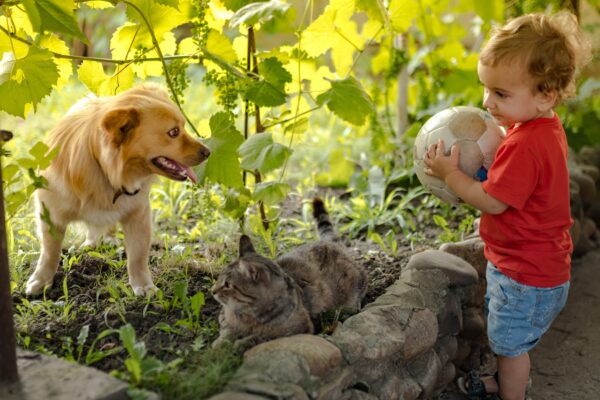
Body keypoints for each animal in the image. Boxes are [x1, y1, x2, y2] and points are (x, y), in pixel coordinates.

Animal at [27, 84, 212, 296]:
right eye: (174, 132)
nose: (208, 152)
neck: (107, 172)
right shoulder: (50, 215)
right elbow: (50, 252)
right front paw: (41, 280)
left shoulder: (138, 214)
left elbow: (138, 256)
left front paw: (143, 285)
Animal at [213, 198, 368, 348]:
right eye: (218, 278)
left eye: (227, 284)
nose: (212, 290)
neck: (247, 315)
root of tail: (328, 242)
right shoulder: (224, 319)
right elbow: (226, 332)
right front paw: (221, 344)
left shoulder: (296, 329)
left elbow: (262, 337)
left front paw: (239, 344)